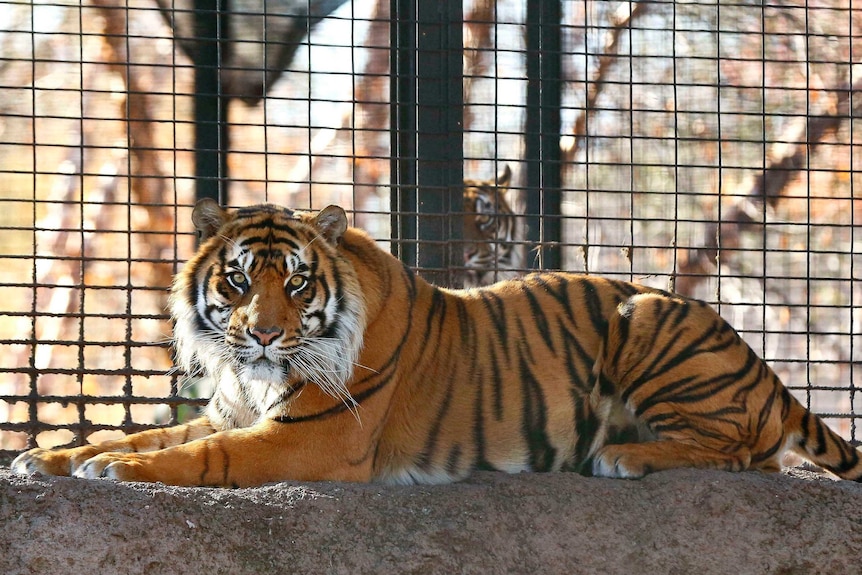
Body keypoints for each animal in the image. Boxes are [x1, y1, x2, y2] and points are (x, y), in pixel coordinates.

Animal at [11, 200, 862, 488]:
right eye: (238, 279)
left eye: (296, 282)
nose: (263, 333)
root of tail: (769, 374)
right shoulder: (232, 409)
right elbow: (146, 431)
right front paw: (53, 456)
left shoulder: (309, 439)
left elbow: (196, 456)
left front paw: (116, 470)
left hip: (646, 313)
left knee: (744, 450)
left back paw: (624, 454)